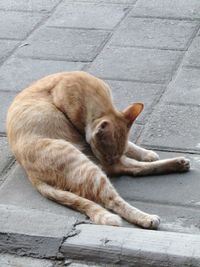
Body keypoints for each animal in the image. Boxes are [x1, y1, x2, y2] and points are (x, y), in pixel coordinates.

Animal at [6, 71, 190, 230]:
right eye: (107, 156)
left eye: (112, 155)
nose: (110, 161)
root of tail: (32, 176)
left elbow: (130, 145)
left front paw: (146, 153)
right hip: (88, 168)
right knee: (114, 196)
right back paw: (146, 218)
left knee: (130, 168)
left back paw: (178, 163)